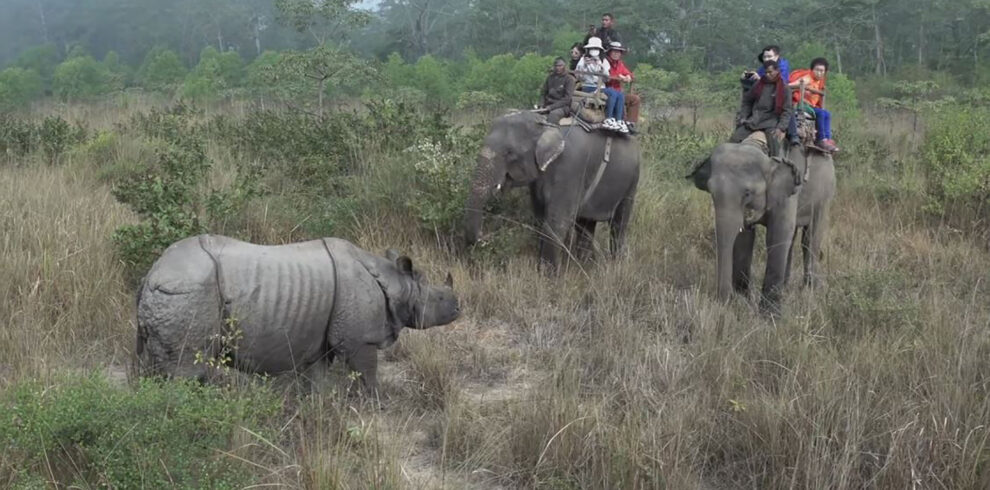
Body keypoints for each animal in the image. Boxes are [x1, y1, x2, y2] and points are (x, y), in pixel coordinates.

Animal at [136, 234, 462, 394]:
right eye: (439, 297)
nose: (459, 308)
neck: (396, 283)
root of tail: (152, 274)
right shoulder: (360, 339)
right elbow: (367, 373)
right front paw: (377, 403)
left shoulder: (321, 339)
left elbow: (318, 377)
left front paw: (320, 405)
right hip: (187, 291)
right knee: (186, 371)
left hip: (174, 293)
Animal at [464, 111, 644, 272]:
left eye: (510, 153)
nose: (484, 238)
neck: (544, 124)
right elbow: (539, 218)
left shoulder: (571, 168)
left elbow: (556, 222)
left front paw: (549, 277)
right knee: (586, 225)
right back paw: (585, 265)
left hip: (633, 179)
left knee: (619, 224)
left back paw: (615, 263)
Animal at [688, 141, 836, 314]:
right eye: (710, 191)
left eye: (747, 193)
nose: (725, 302)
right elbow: (744, 237)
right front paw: (743, 301)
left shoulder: (789, 191)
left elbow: (777, 234)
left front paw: (770, 314)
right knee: (792, 241)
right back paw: (786, 288)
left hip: (825, 193)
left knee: (810, 238)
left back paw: (810, 291)